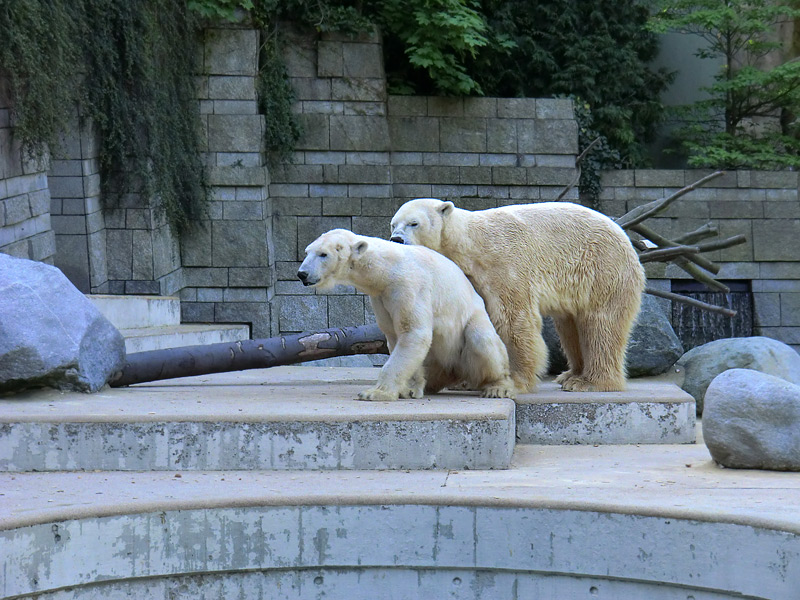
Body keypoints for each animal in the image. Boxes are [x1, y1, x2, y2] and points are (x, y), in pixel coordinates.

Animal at [296, 230, 516, 404]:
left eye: (323, 254)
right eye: (307, 251)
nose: (302, 274)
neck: (384, 269)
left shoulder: (408, 286)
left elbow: (414, 332)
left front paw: (374, 393)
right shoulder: (381, 297)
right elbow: (396, 336)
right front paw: (408, 389)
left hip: (469, 328)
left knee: (482, 340)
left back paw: (498, 387)